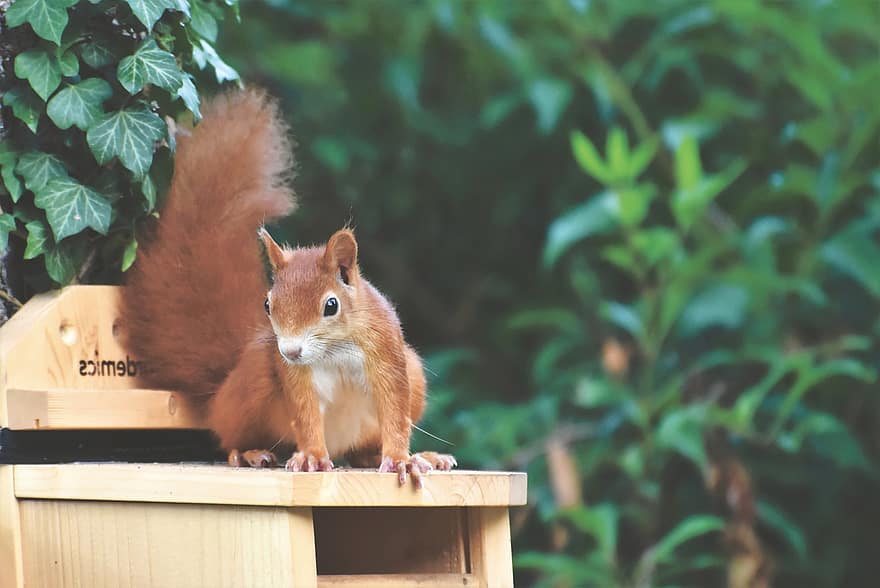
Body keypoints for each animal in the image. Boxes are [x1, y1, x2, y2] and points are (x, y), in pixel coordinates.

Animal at [118, 90, 454, 486]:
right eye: (268, 304)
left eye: (331, 305)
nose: (291, 351)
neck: (334, 350)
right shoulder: (292, 374)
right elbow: (305, 414)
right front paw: (311, 456)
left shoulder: (386, 352)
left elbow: (395, 410)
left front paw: (403, 459)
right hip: (253, 382)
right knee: (230, 437)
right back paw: (249, 452)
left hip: (413, 377)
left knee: (362, 453)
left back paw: (416, 456)